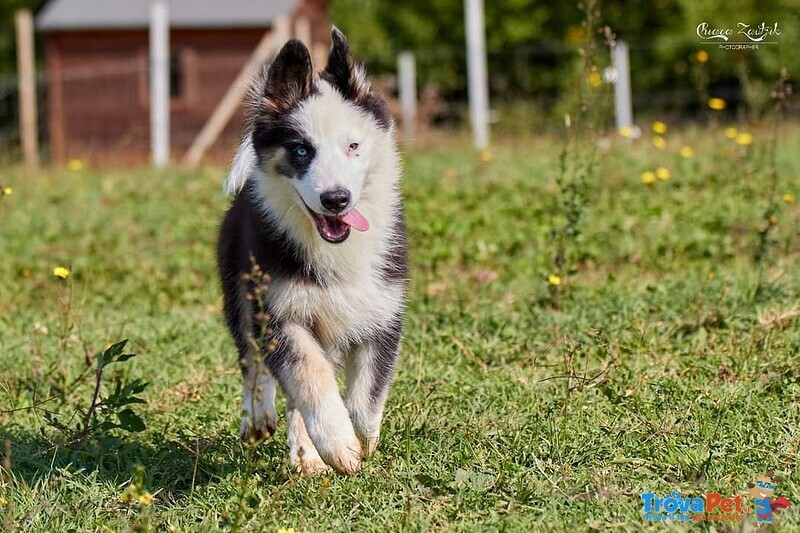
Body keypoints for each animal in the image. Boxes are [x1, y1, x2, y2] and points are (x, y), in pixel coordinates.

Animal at [217, 28, 406, 474]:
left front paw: (359, 441)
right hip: (239, 290)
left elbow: (365, 398)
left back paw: (306, 457)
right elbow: (309, 378)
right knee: (253, 362)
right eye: (302, 150)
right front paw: (338, 445)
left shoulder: (384, 312)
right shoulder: (279, 313)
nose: (336, 199)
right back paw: (259, 419)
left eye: (353, 146)